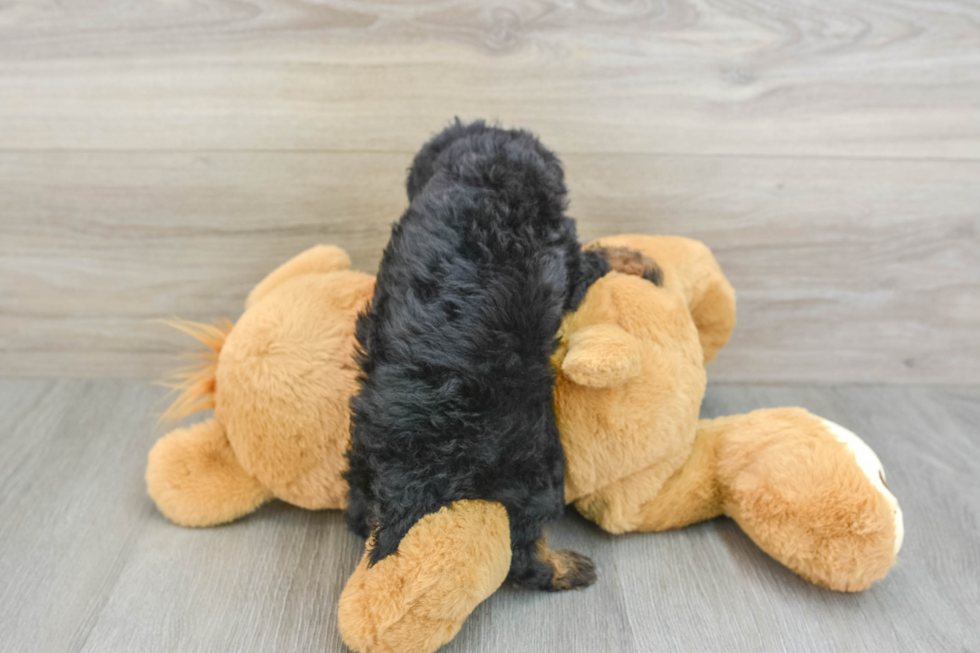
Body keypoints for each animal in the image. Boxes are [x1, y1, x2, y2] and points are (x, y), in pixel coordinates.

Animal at [342, 118, 604, 592]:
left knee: (358, 507)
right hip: (534, 462)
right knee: (524, 551)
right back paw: (567, 569)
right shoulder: (567, 260)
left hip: (362, 451)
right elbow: (597, 258)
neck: (484, 175)